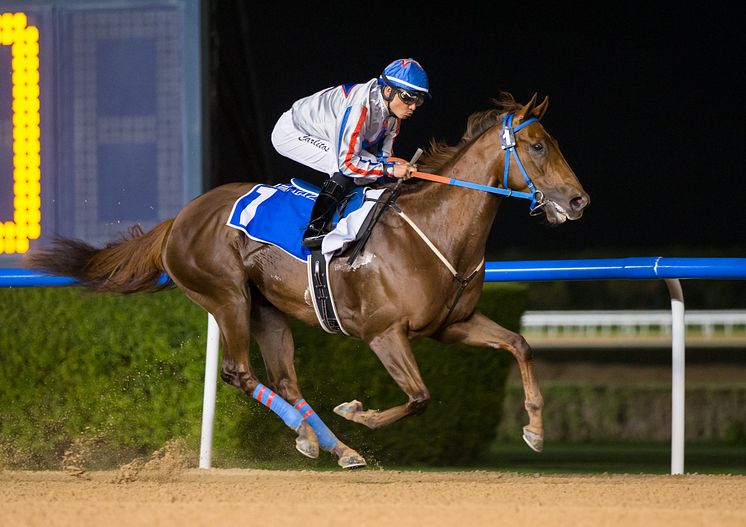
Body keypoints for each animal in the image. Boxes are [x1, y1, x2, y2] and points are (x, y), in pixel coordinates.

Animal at [27, 92, 588, 470]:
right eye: (537, 146)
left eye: (554, 142)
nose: (579, 200)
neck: (435, 229)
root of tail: (181, 218)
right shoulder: (383, 333)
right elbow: (420, 397)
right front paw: (358, 413)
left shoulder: (453, 324)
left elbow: (519, 344)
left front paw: (535, 429)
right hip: (226, 296)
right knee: (237, 371)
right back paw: (313, 435)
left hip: (268, 310)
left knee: (285, 380)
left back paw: (331, 444)